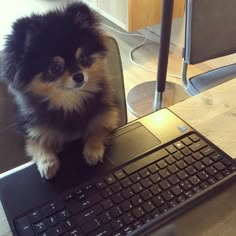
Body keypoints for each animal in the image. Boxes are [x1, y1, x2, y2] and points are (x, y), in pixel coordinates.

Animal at [0, 2, 120, 179]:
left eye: (82, 59)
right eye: (56, 68)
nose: (79, 76)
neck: (69, 102)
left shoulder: (108, 113)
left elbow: (99, 128)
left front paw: (93, 150)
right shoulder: (28, 128)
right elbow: (37, 142)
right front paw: (48, 163)